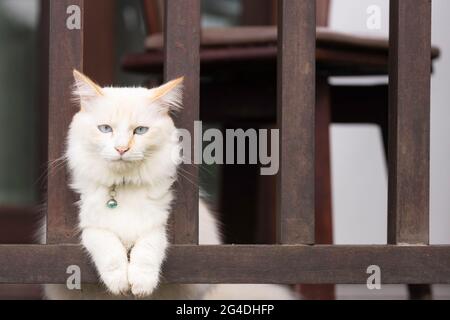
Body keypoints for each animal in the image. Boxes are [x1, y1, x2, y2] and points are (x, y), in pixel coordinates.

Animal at [44, 70, 298, 300]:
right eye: (105, 129)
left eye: (140, 130)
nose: (121, 149)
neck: (124, 187)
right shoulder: (89, 226)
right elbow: (108, 247)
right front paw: (119, 283)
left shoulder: (157, 224)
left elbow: (148, 249)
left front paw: (141, 284)